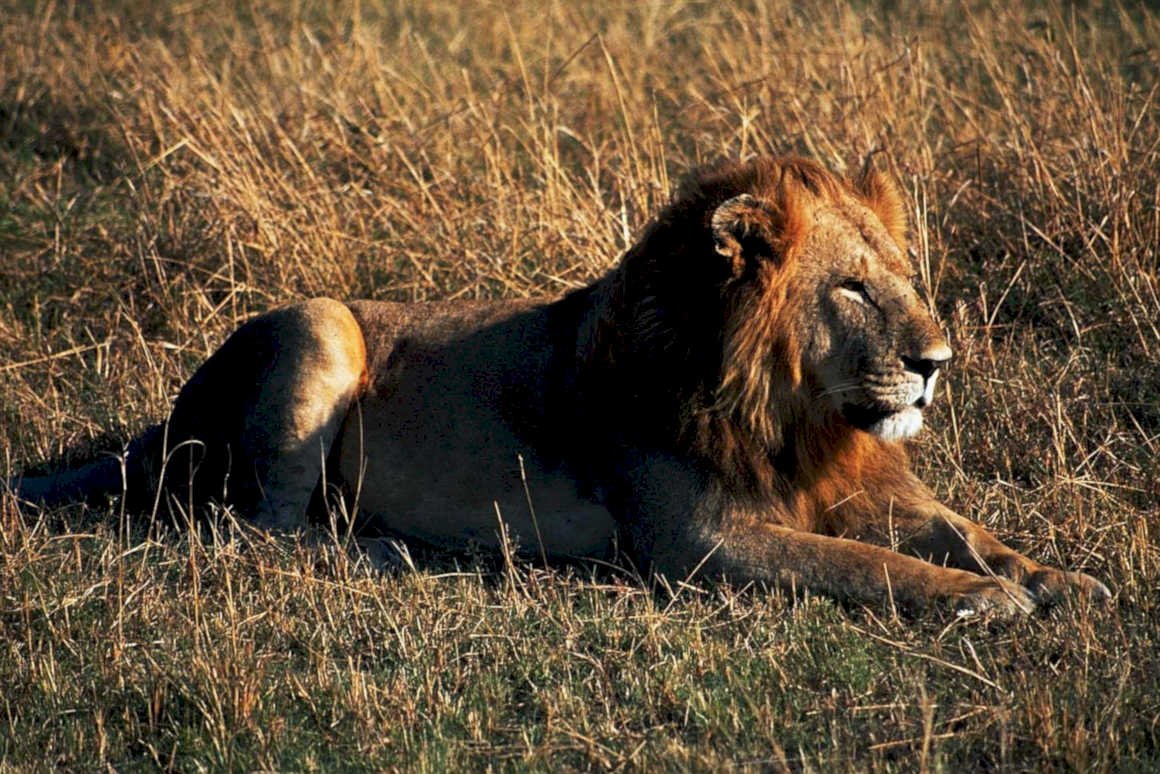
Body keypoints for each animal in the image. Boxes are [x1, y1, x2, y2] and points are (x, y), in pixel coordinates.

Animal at [11, 155, 1110, 615]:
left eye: (904, 277)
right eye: (850, 288)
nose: (937, 364)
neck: (798, 417)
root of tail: (162, 421)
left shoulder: (860, 486)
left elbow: (963, 530)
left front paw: (1062, 578)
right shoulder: (696, 542)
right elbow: (866, 567)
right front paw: (980, 602)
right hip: (317, 323)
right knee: (255, 535)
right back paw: (393, 553)